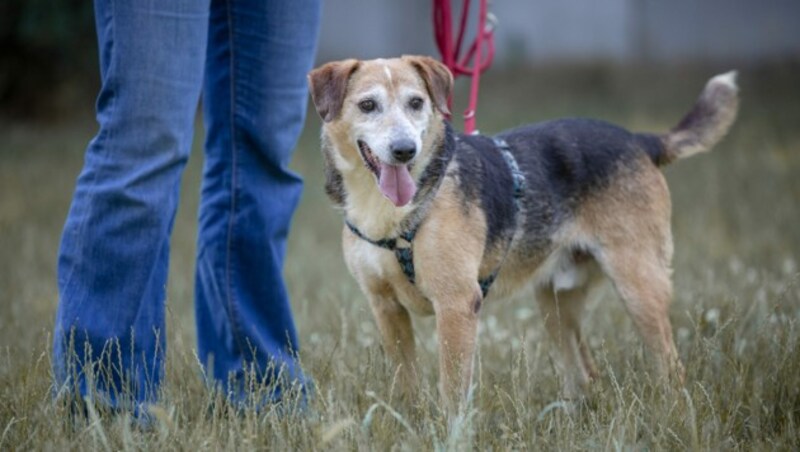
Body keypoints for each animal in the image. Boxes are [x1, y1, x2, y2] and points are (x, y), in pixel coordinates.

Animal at [304, 55, 736, 410]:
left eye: (416, 103)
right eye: (367, 105)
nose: (405, 150)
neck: (391, 214)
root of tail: (639, 139)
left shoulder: (457, 304)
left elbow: (452, 390)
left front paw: (450, 435)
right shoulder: (385, 307)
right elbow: (405, 384)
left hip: (639, 284)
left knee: (670, 366)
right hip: (555, 303)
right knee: (584, 373)